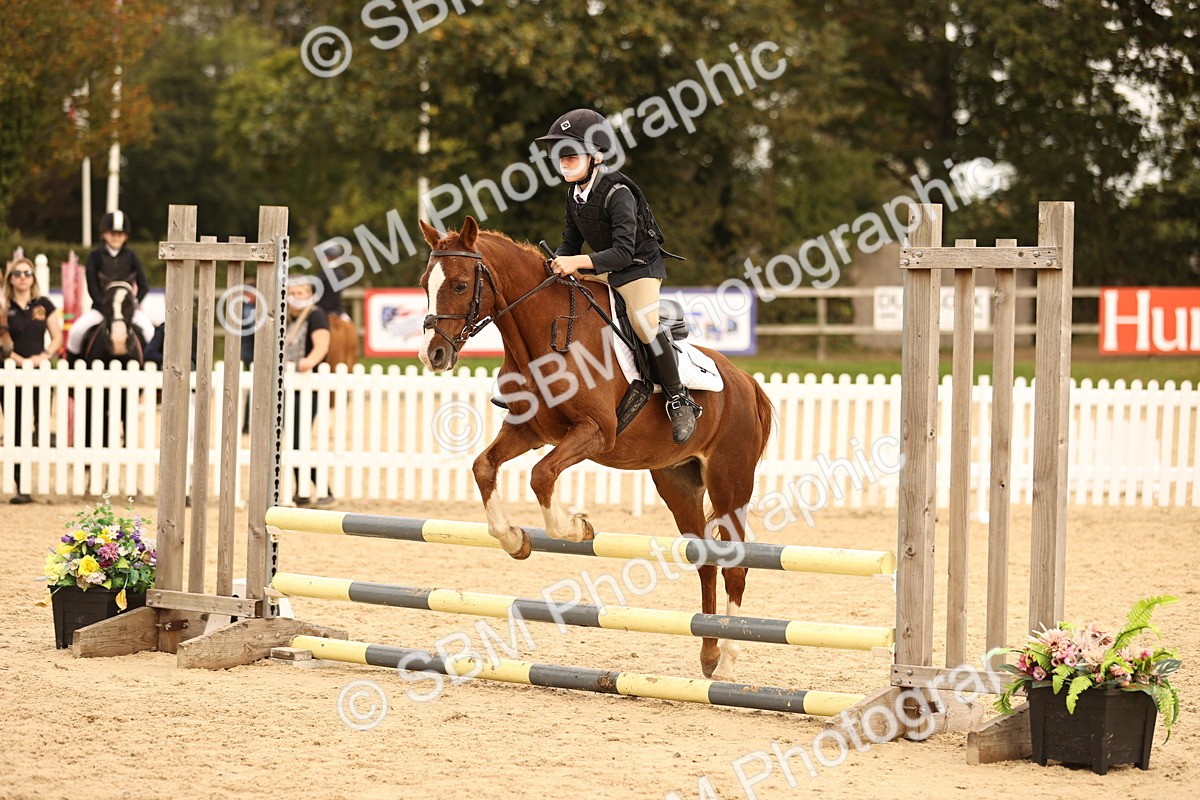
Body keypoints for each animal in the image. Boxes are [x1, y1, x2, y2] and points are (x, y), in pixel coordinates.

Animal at [418, 217, 774, 682]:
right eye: (424, 283)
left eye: (460, 285)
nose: (434, 355)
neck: (546, 333)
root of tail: (746, 382)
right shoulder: (528, 429)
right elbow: (483, 467)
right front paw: (515, 540)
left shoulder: (595, 432)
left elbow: (541, 475)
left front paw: (576, 528)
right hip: (678, 483)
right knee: (707, 561)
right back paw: (710, 654)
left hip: (730, 482)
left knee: (736, 565)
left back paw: (729, 661)